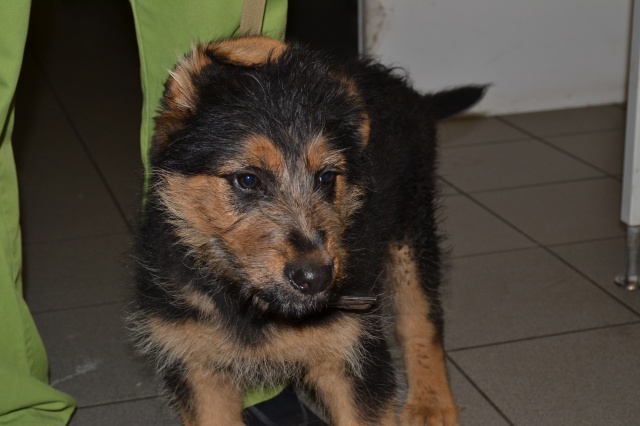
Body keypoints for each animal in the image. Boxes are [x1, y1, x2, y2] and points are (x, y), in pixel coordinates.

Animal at [130, 36, 485, 426]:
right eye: (248, 180)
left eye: (327, 177)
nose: (316, 278)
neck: (248, 301)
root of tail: (404, 89)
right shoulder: (198, 366)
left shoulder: (352, 356)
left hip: (412, 225)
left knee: (420, 315)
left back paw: (431, 402)